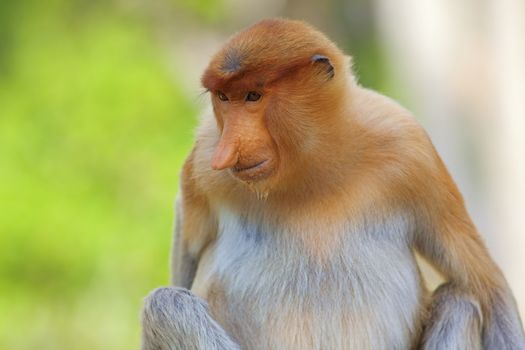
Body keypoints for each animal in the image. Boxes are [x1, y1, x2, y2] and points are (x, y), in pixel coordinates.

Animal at [140, 19, 524, 350]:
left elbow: (488, 288)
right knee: (165, 304)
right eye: (223, 98)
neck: (312, 167)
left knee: (461, 300)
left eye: (252, 96)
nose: (228, 152)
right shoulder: (203, 161)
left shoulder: (411, 148)